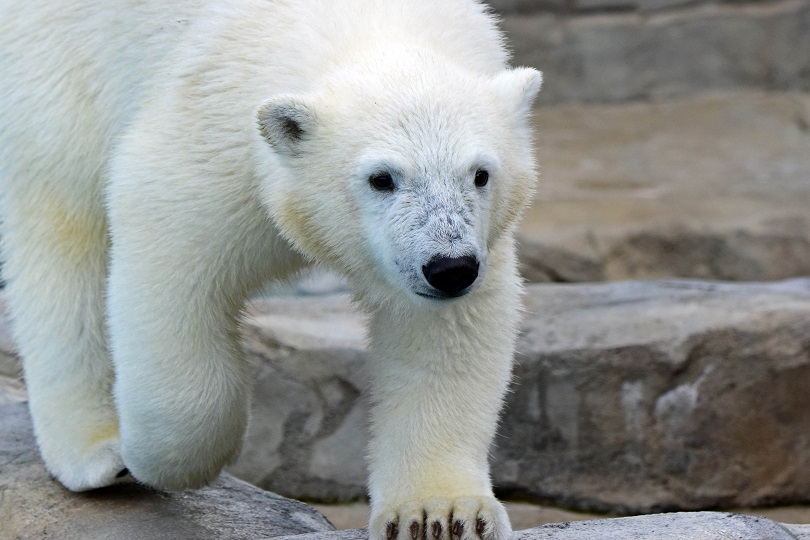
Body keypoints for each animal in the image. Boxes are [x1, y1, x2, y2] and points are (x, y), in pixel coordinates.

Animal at [1, 0, 544, 536]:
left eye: (480, 174)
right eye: (381, 178)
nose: (450, 268)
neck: (364, 22)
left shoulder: (480, 239)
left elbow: (443, 337)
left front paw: (440, 512)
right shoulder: (209, 129)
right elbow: (169, 261)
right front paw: (157, 460)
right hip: (55, 69)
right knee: (64, 229)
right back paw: (99, 451)